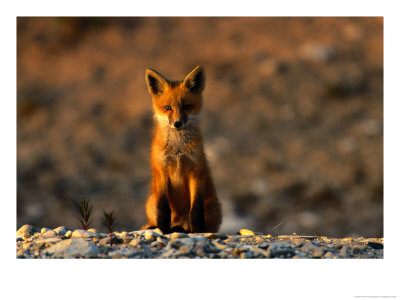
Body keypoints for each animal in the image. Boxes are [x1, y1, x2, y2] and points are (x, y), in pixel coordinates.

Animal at [141, 66, 222, 234]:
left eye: (186, 106)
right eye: (167, 108)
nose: (177, 123)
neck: (177, 150)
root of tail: (179, 220)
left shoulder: (196, 173)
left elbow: (195, 210)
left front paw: (197, 232)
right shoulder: (162, 172)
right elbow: (164, 209)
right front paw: (163, 230)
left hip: (211, 206)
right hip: (151, 200)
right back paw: (159, 227)